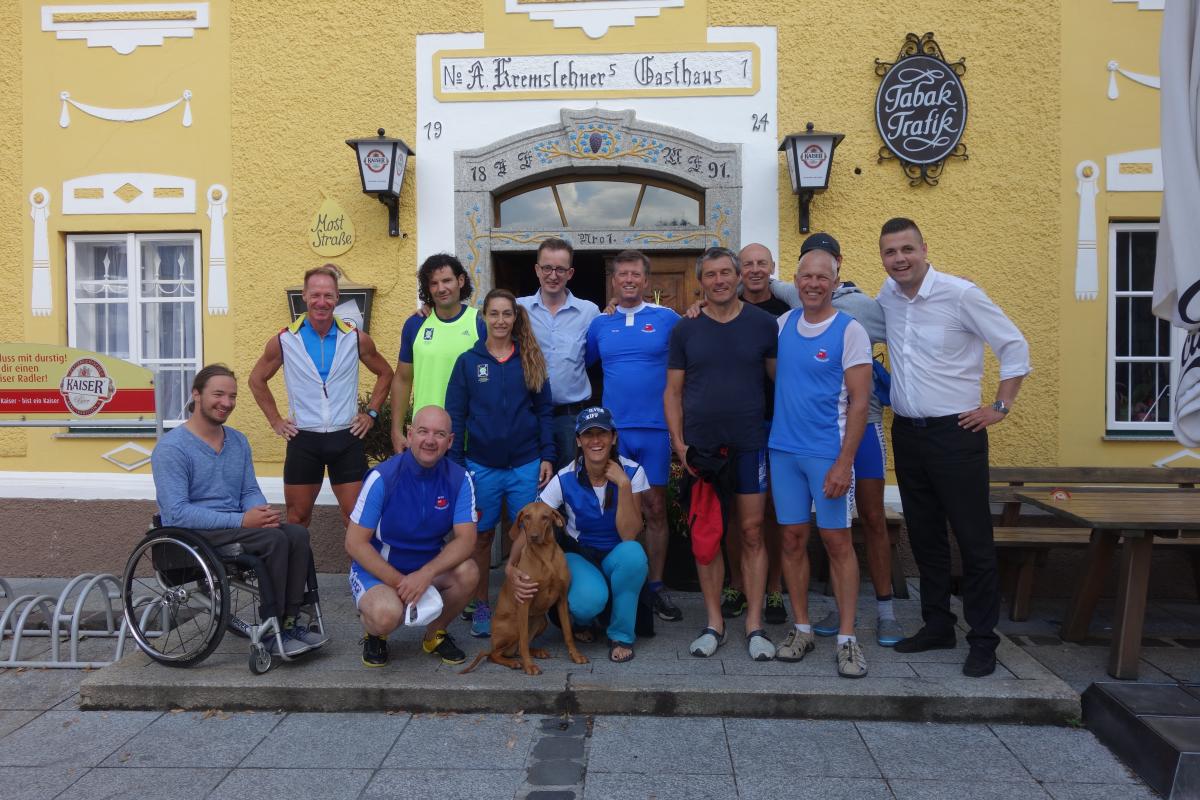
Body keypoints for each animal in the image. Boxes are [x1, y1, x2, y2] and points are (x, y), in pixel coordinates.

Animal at [458, 501, 590, 676]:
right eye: (527, 517)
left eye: (545, 517)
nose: (533, 536)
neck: (545, 555)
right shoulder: (524, 601)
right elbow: (523, 642)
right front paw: (529, 666)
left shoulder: (562, 599)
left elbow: (568, 633)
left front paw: (575, 655)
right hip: (514, 626)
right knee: (496, 653)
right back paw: (513, 662)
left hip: (541, 622)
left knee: (516, 649)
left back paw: (536, 652)